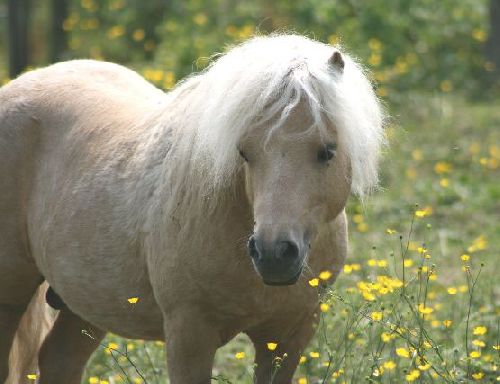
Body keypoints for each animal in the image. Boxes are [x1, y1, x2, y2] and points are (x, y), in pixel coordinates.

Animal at [0, 34, 382, 382]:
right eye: (244, 152)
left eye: (327, 151)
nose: (273, 254)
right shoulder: (189, 335)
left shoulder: (288, 337)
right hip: (13, 294)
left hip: (88, 303)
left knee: (59, 359)